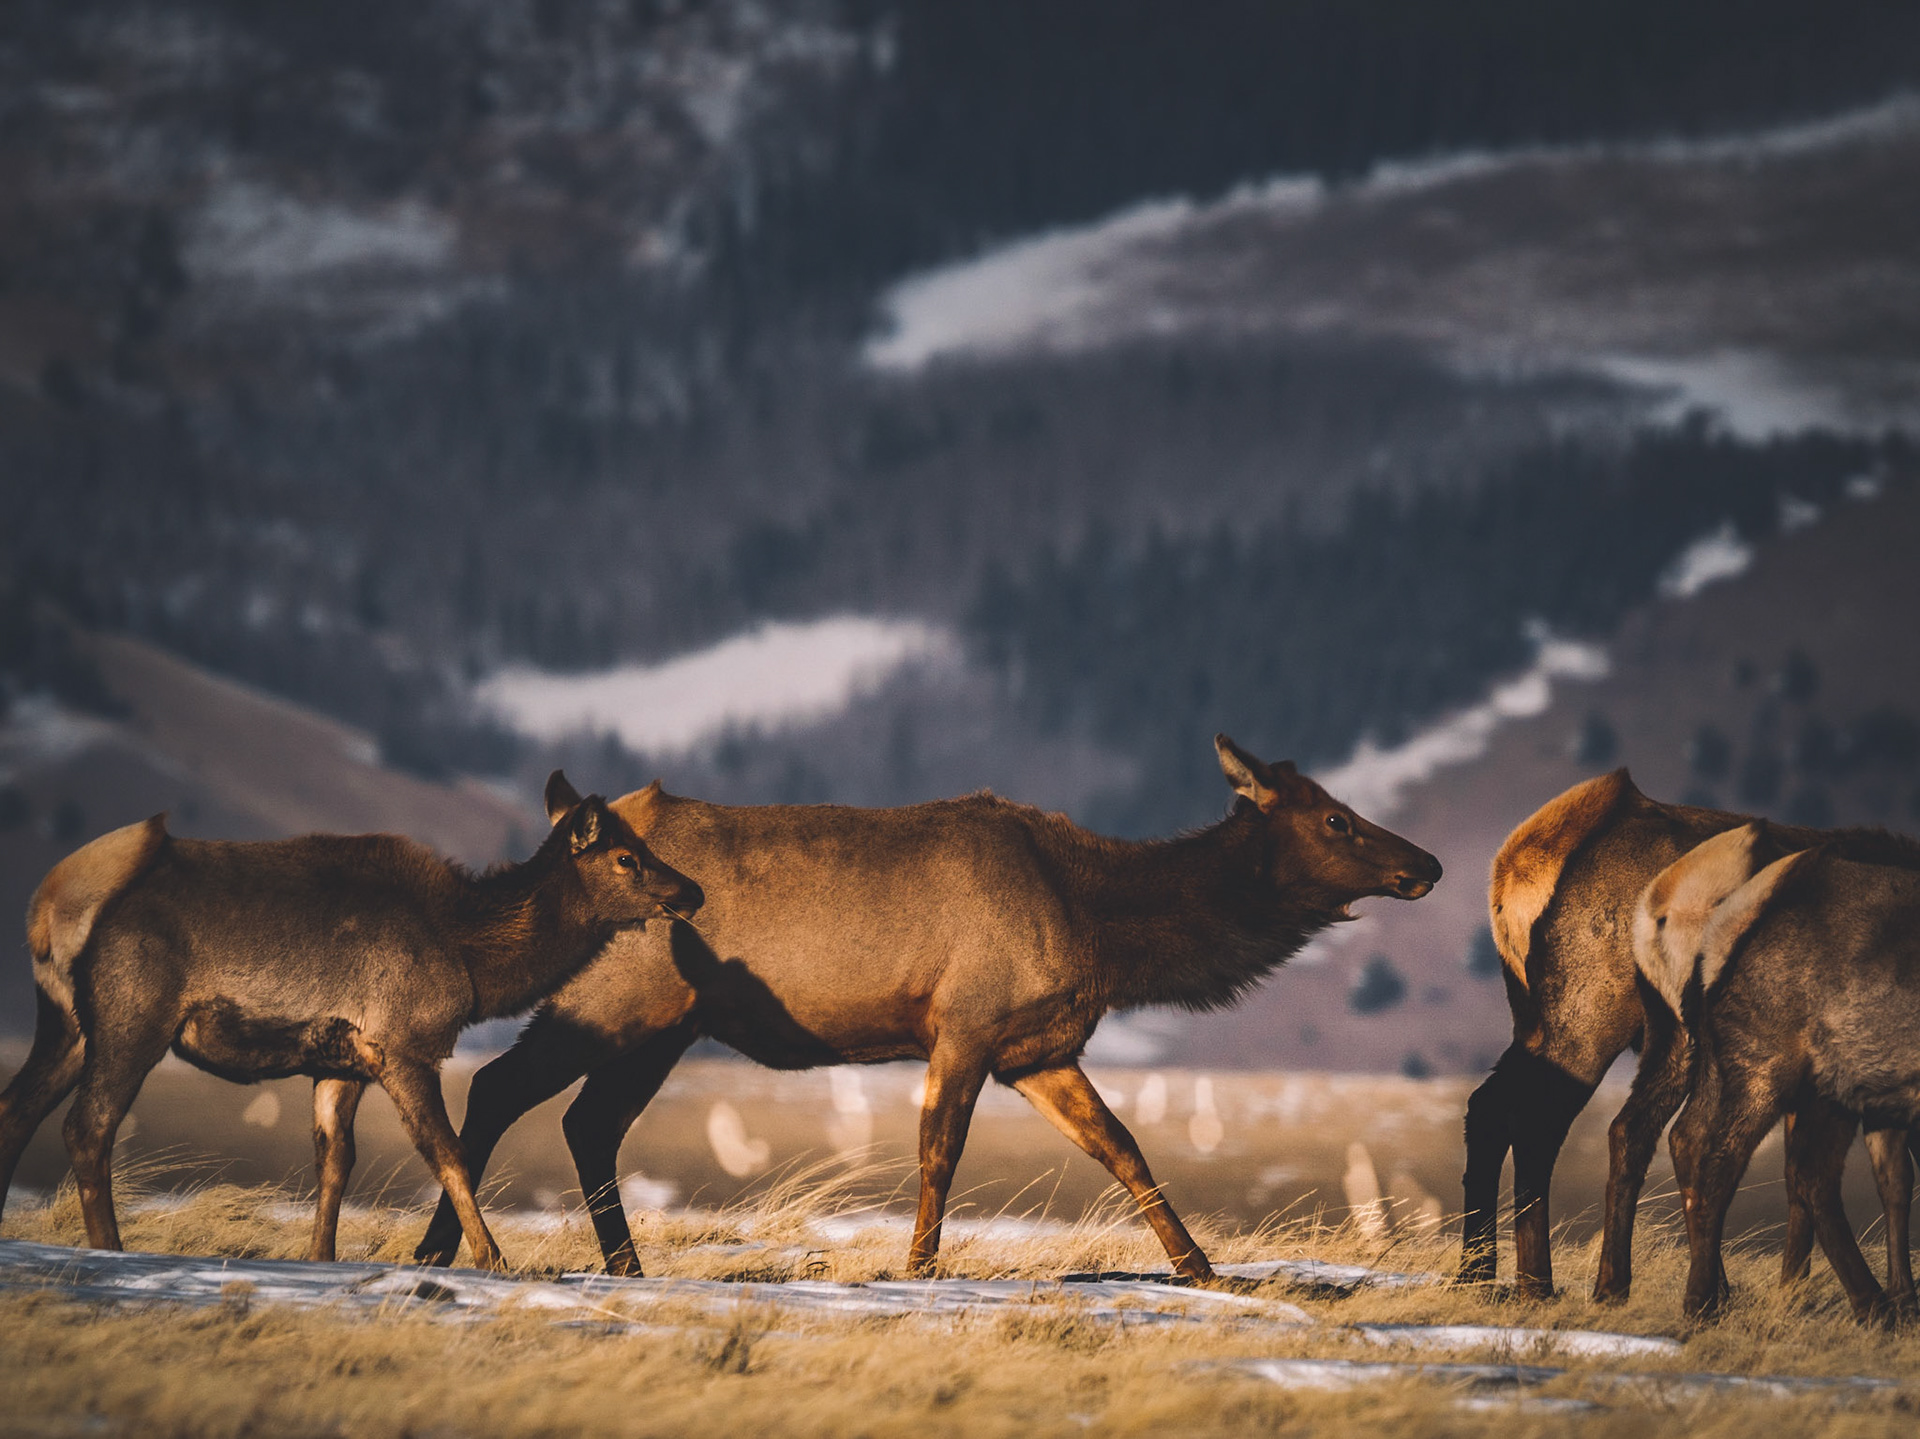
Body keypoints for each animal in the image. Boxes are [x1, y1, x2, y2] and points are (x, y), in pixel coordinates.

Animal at [0, 772, 702, 1269]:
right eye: (625, 858)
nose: (693, 892)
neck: (473, 961)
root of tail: (52, 902)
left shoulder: (341, 1063)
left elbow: (335, 1160)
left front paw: (322, 1258)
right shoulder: (403, 1045)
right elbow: (448, 1152)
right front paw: (493, 1259)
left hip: (66, 1024)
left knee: (17, 1110)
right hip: (134, 1015)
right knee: (87, 1125)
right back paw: (110, 1249)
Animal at [413, 736, 1442, 1281]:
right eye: (1335, 817)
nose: (1425, 863)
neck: (1103, 930)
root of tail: (561, 825)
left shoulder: (1039, 1047)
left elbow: (1122, 1146)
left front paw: (1199, 1266)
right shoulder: (966, 1024)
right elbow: (938, 1151)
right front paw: (919, 1268)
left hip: (663, 1025)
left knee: (586, 1121)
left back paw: (614, 1263)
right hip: (613, 997)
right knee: (503, 1086)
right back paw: (448, 1249)